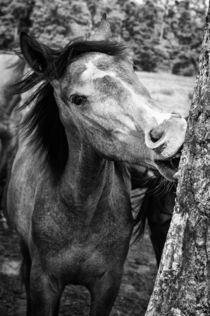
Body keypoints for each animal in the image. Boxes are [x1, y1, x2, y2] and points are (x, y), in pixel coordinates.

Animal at [4, 19, 187, 316]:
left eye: (132, 67)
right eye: (77, 99)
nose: (174, 133)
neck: (81, 212)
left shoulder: (107, 285)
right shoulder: (44, 283)